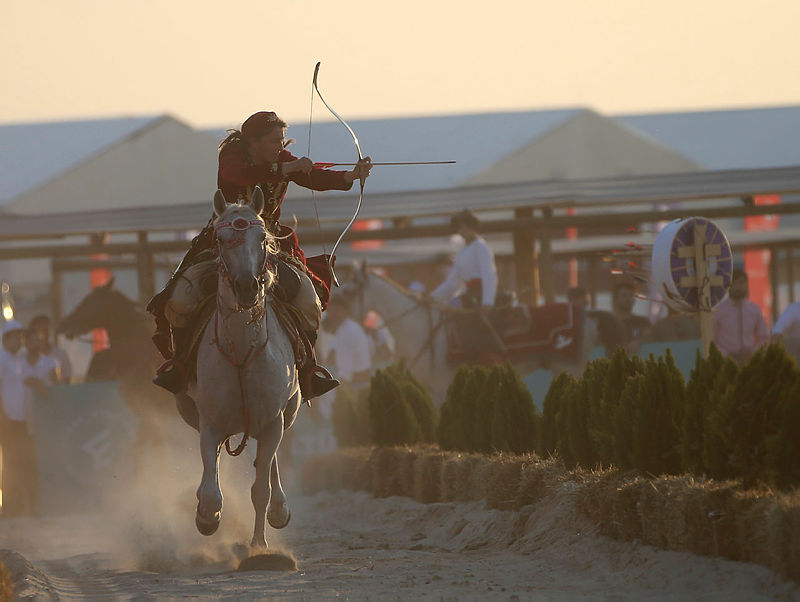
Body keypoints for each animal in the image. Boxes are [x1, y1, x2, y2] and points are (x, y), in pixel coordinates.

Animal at [175, 185, 300, 548]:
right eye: (220, 239)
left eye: (262, 237)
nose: (247, 287)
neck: (242, 353)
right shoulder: (209, 422)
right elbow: (211, 491)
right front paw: (206, 517)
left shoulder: (273, 422)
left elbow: (261, 488)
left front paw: (259, 545)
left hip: (288, 413)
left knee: (268, 464)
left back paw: (279, 510)